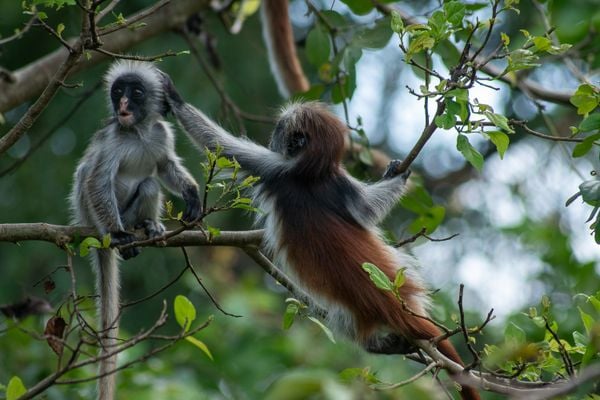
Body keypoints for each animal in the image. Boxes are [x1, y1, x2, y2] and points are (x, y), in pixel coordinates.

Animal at [70, 60, 202, 400]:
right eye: (118, 92)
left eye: (136, 92)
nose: (123, 105)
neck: (139, 133)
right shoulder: (113, 137)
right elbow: (96, 179)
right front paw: (118, 236)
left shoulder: (161, 133)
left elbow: (166, 166)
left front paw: (192, 194)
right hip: (92, 211)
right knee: (88, 174)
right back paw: (118, 233)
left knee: (150, 183)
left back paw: (148, 225)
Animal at [162, 76, 480, 400]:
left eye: (279, 130)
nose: (272, 136)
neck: (309, 172)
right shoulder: (317, 177)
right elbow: (367, 209)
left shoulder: (279, 168)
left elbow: (222, 146)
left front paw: (174, 99)